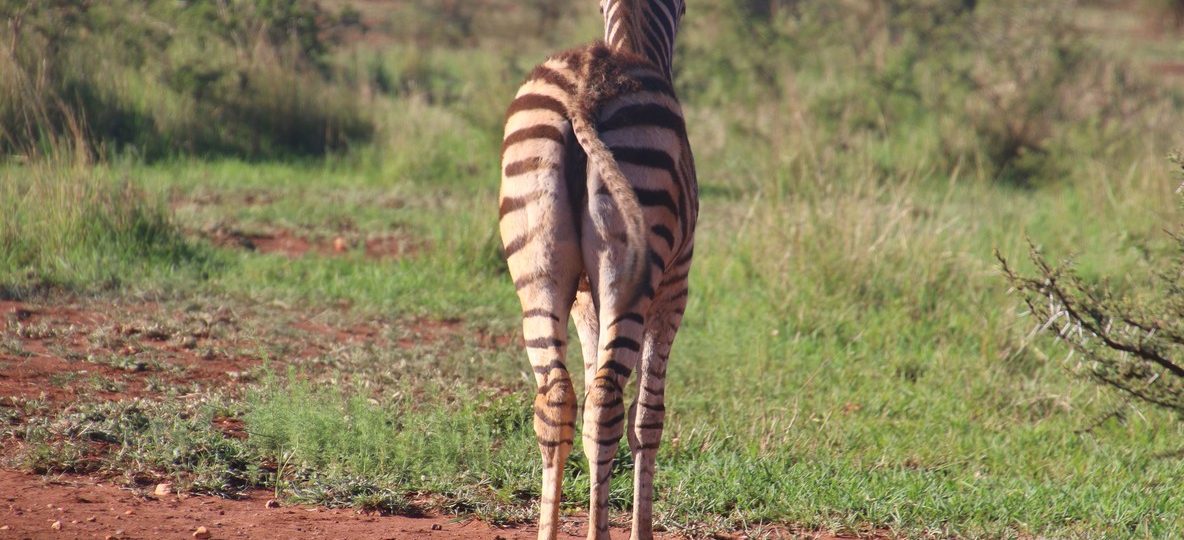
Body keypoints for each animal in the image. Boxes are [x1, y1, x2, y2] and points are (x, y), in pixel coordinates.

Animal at [498, 1, 695, 539]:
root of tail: (586, 86)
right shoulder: (674, 292)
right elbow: (648, 418)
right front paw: (639, 529)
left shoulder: (587, 301)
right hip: (633, 279)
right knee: (608, 401)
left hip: (537, 270)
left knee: (558, 399)